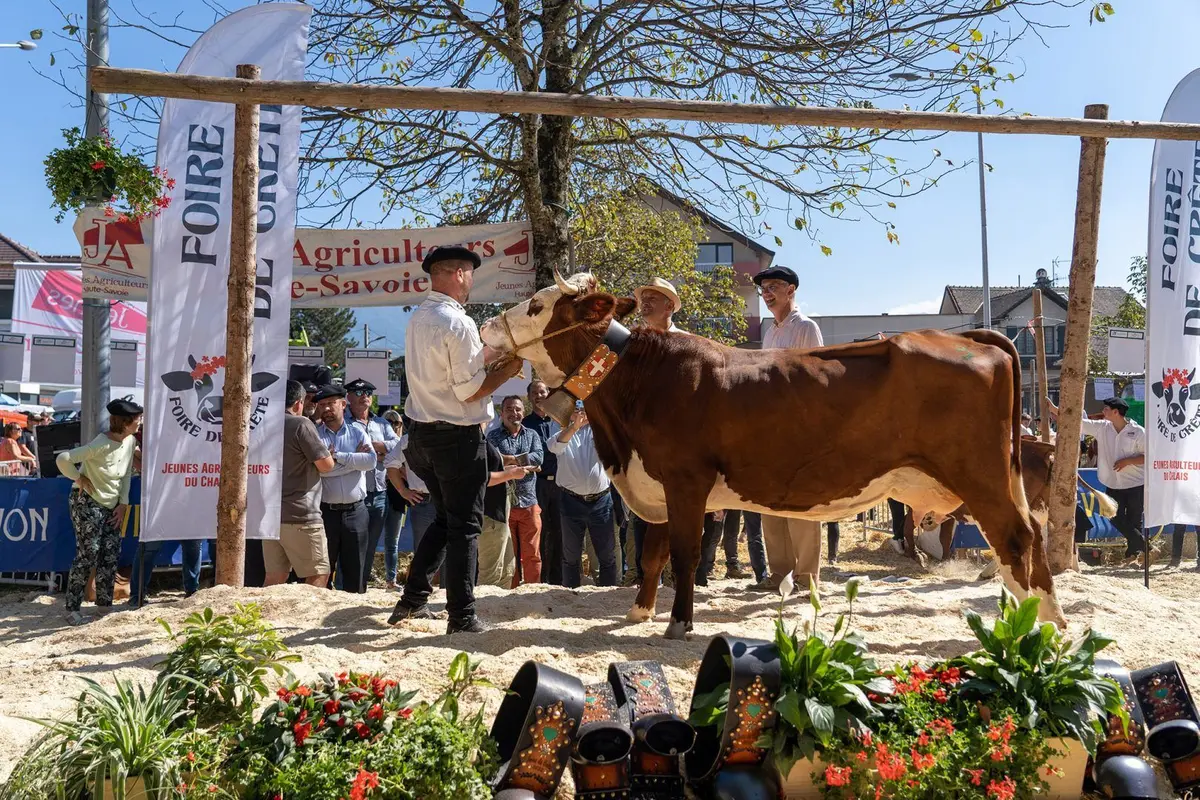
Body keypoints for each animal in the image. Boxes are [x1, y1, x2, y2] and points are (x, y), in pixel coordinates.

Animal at [479, 272, 1065, 639]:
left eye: (536, 306)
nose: (485, 325)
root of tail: (972, 337)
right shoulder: (658, 484)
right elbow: (651, 555)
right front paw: (639, 612)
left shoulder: (686, 480)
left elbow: (685, 555)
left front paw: (678, 623)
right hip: (1002, 476)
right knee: (1029, 540)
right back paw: (1041, 622)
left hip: (981, 474)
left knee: (1017, 539)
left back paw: (1041, 628)